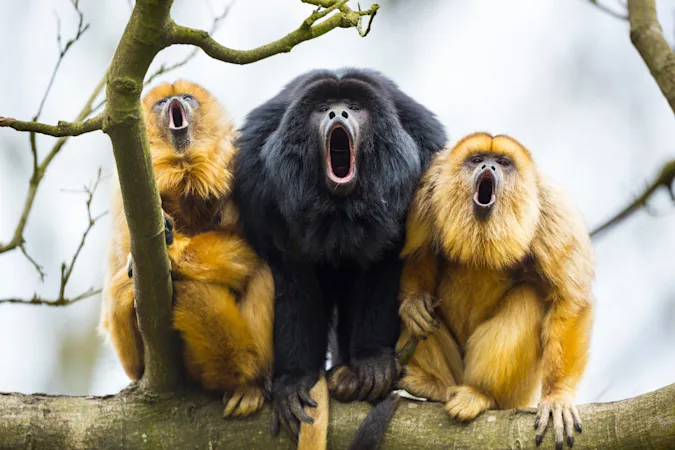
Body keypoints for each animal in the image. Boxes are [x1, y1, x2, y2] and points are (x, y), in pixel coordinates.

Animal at [99, 80, 274, 418]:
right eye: (162, 102)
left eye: (187, 98)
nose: (175, 102)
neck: (185, 169)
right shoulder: (125, 196)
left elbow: (259, 249)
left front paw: (175, 254)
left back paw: (249, 381)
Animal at [234, 68, 446, 444]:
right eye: (322, 109)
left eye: (354, 107)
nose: (338, 113)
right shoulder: (256, 179)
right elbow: (292, 278)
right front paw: (295, 380)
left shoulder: (423, 156)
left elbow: (385, 268)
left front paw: (372, 360)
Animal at [397, 132, 594, 449]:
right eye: (477, 159)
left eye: (502, 162)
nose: (488, 167)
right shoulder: (427, 190)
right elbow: (418, 253)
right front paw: (414, 303)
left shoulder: (553, 210)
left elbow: (570, 299)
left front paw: (557, 396)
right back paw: (434, 385)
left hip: (518, 394)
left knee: (527, 299)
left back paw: (481, 394)